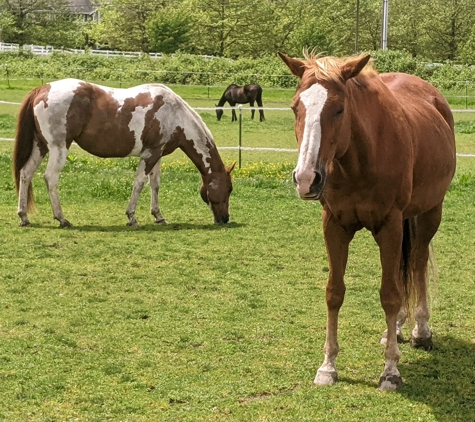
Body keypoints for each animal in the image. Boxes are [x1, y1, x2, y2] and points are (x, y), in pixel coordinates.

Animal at [13, 81, 237, 229]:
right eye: (229, 189)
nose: (225, 218)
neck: (175, 114)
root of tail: (43, 89)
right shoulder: (150, 154)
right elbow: (140, 183)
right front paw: (132, 217)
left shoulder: (158, 154)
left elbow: (155, 185)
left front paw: (158, 216)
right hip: (58, 148)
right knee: (50, 178)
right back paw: (62, 219)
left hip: (40, 146)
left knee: (25, 174)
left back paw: (24, 216)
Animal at [278, 51, 458, 390]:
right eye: (296, 107)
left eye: (339, 109)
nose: (306, 179)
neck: (358, 161)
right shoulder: (334, 225)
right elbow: (334, 292)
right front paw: (328, 366)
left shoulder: (390, 224)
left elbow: (389, 294)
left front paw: (390, 371)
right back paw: (395, 329)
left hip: (430, 213)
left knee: (417, 264)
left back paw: (421, 331)